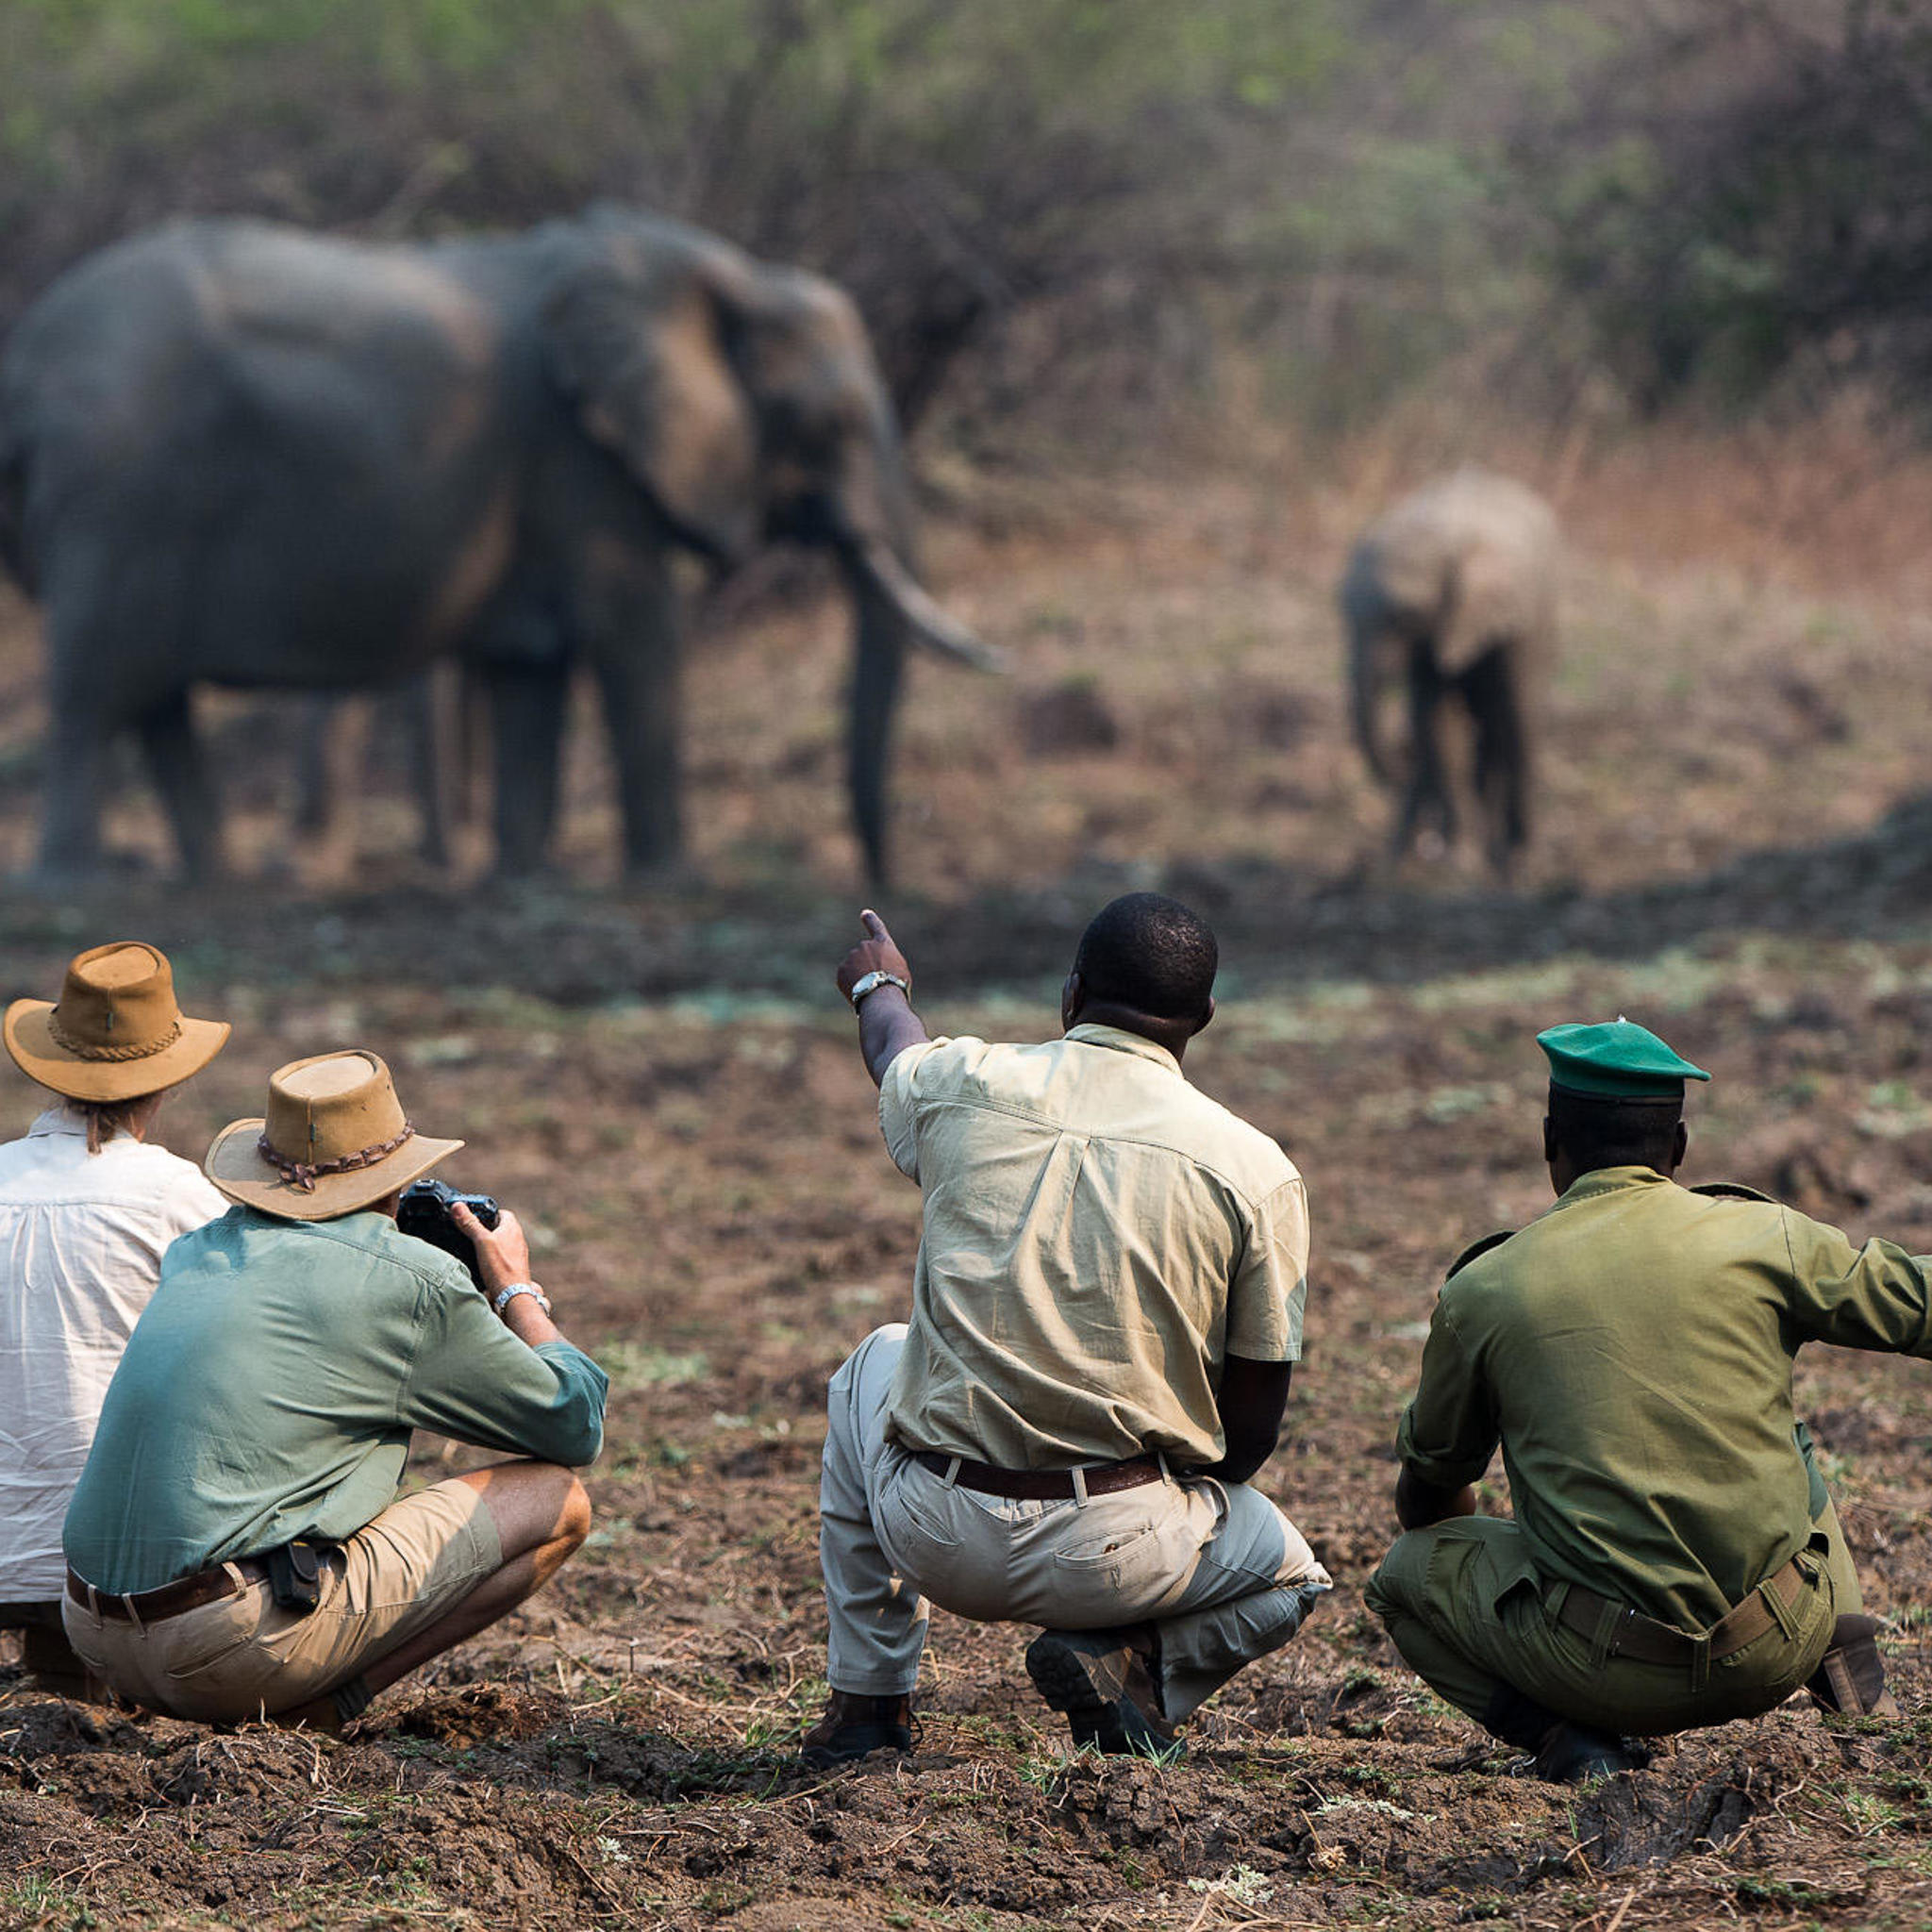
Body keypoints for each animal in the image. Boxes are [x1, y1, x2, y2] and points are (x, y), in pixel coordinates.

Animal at [0, 207, 996, 884]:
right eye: (833, 423)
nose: (880, 881)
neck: (720, 271)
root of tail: (28, 357)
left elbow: (531, 674)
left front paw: (526, 877)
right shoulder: (581, 458)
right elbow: (636, 636)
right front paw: (671, 879)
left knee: (154, 700)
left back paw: (217, 879)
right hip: (118, 494)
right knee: (94, 689)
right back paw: (76, 884)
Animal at [1339, 469, 1557, 880]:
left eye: (1403, 616)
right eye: (1340, 611)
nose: (1399, 766)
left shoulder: (1516, 620)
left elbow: (1518, 720)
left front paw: (1521, 864)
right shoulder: (1433, 639)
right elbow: (1436, 724)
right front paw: (1461, 860)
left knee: (1503, 727)